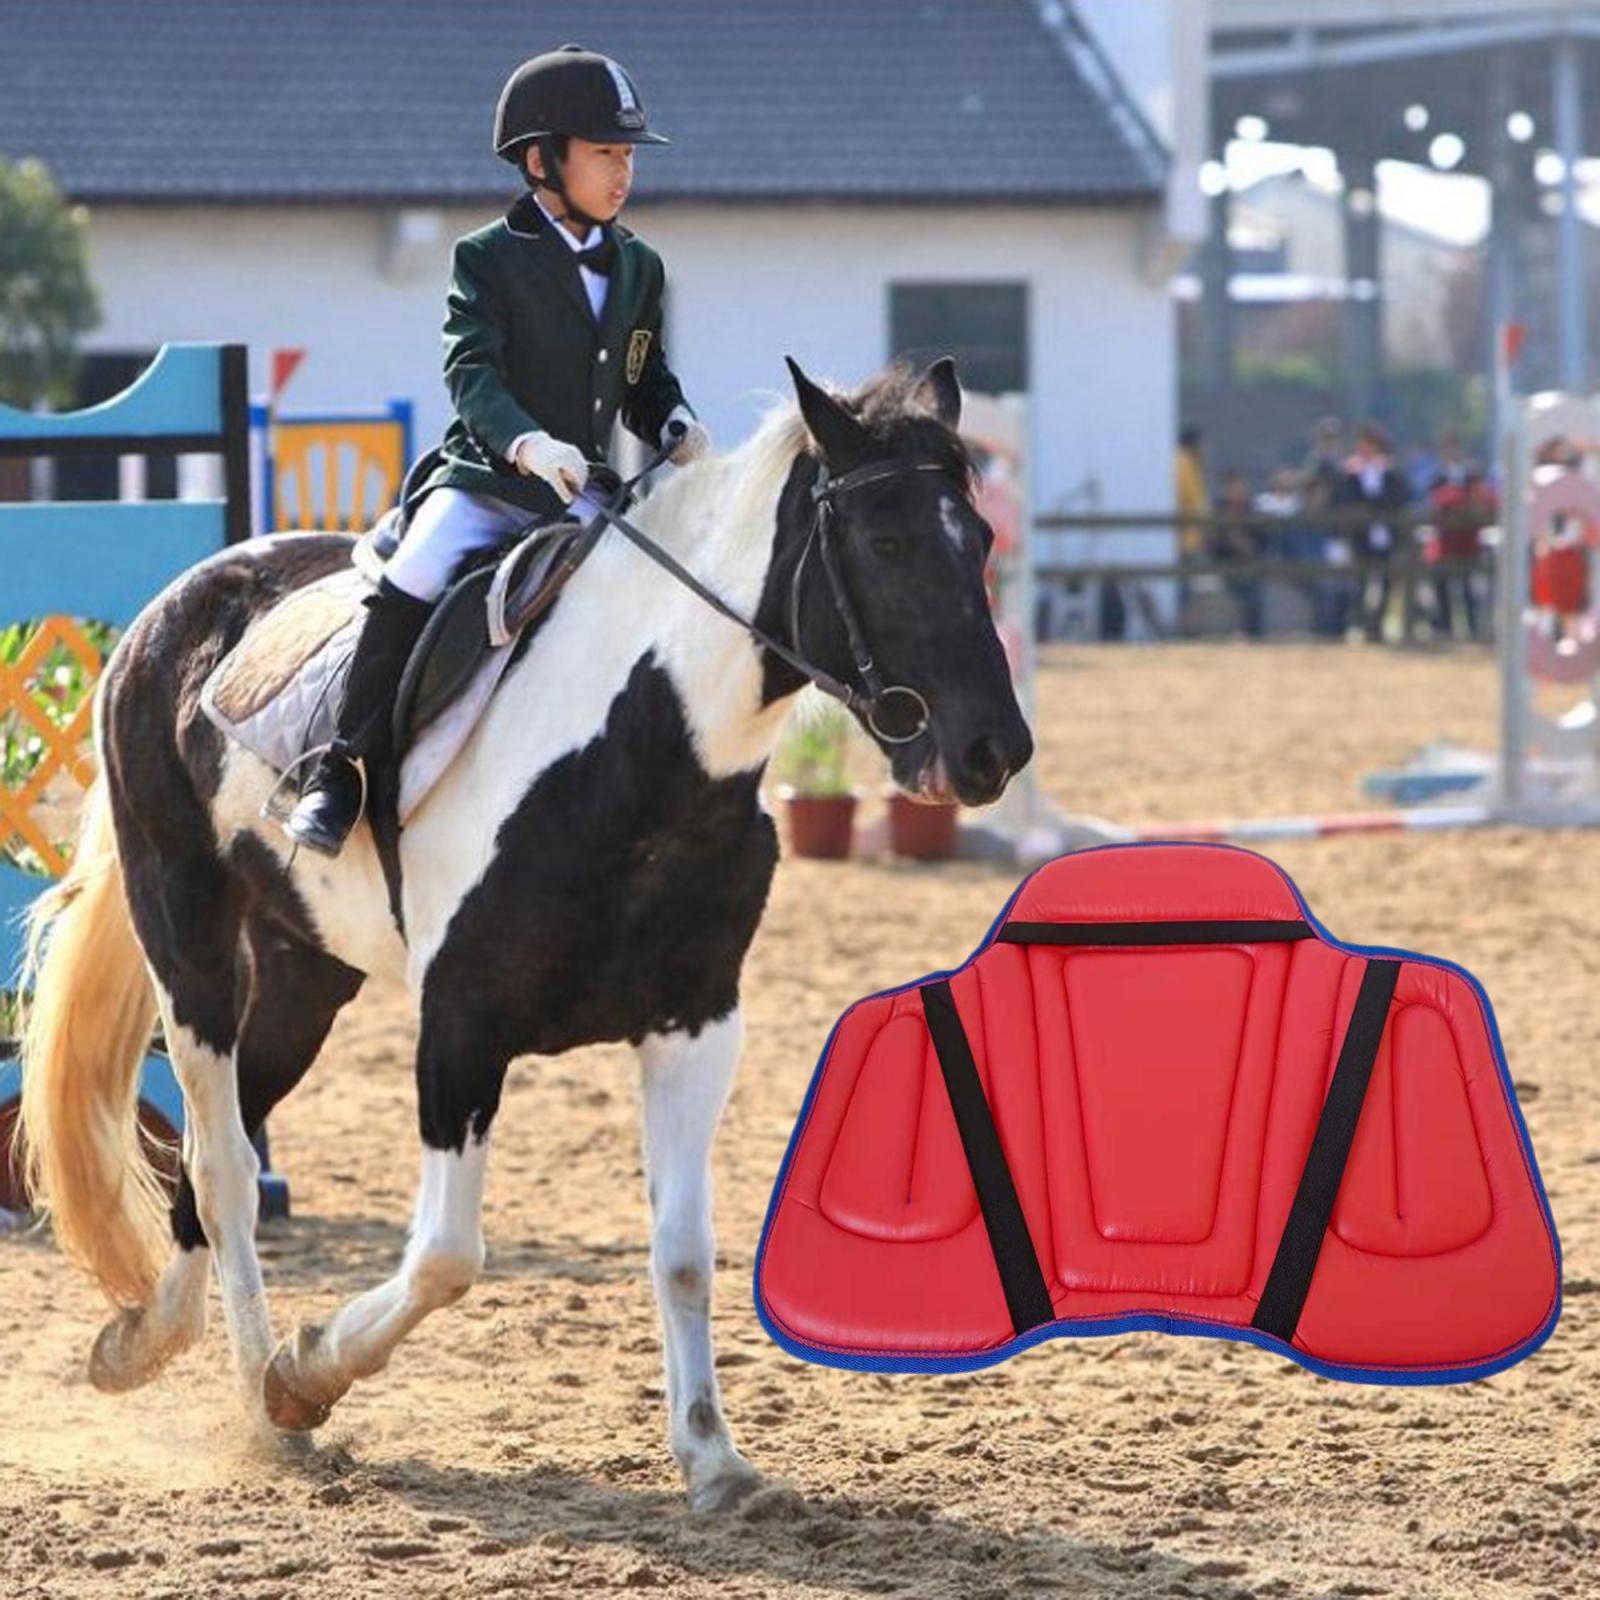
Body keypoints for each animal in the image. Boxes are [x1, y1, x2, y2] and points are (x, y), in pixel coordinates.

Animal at [12, 353, 1030, 1510]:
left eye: (979, 538)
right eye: (887, 543)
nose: (994, 750)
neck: (643, 748)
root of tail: (175, 608)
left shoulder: (697, 1023)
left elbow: (684, 1247)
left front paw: (712, 1457)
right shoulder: (461, 1022)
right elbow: (447, 1253)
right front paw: (305, 1374)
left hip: (305, 978)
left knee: (200, 1156)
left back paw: (141, 1339)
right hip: (188, 948)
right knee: (224, 1161)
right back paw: (258, 1396)